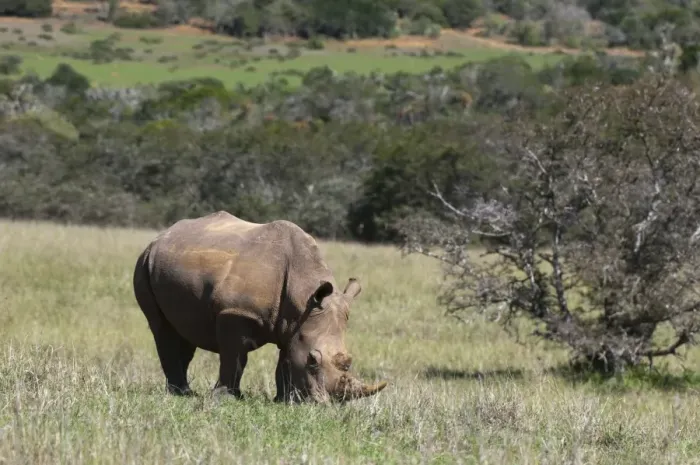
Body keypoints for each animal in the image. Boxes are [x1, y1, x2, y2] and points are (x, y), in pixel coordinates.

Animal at [132, 211, 388, 403]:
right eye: (313, 361)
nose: (326, 404)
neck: (302, 294)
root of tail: (161, 236)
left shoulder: (295, 324)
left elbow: (285, 359)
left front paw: (284, 401)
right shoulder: (235, 312)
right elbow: (235, 357)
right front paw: (227, 398)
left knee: (182, 332)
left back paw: (183, 392)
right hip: (143, 263)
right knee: (162, 328)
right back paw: (181, 393)